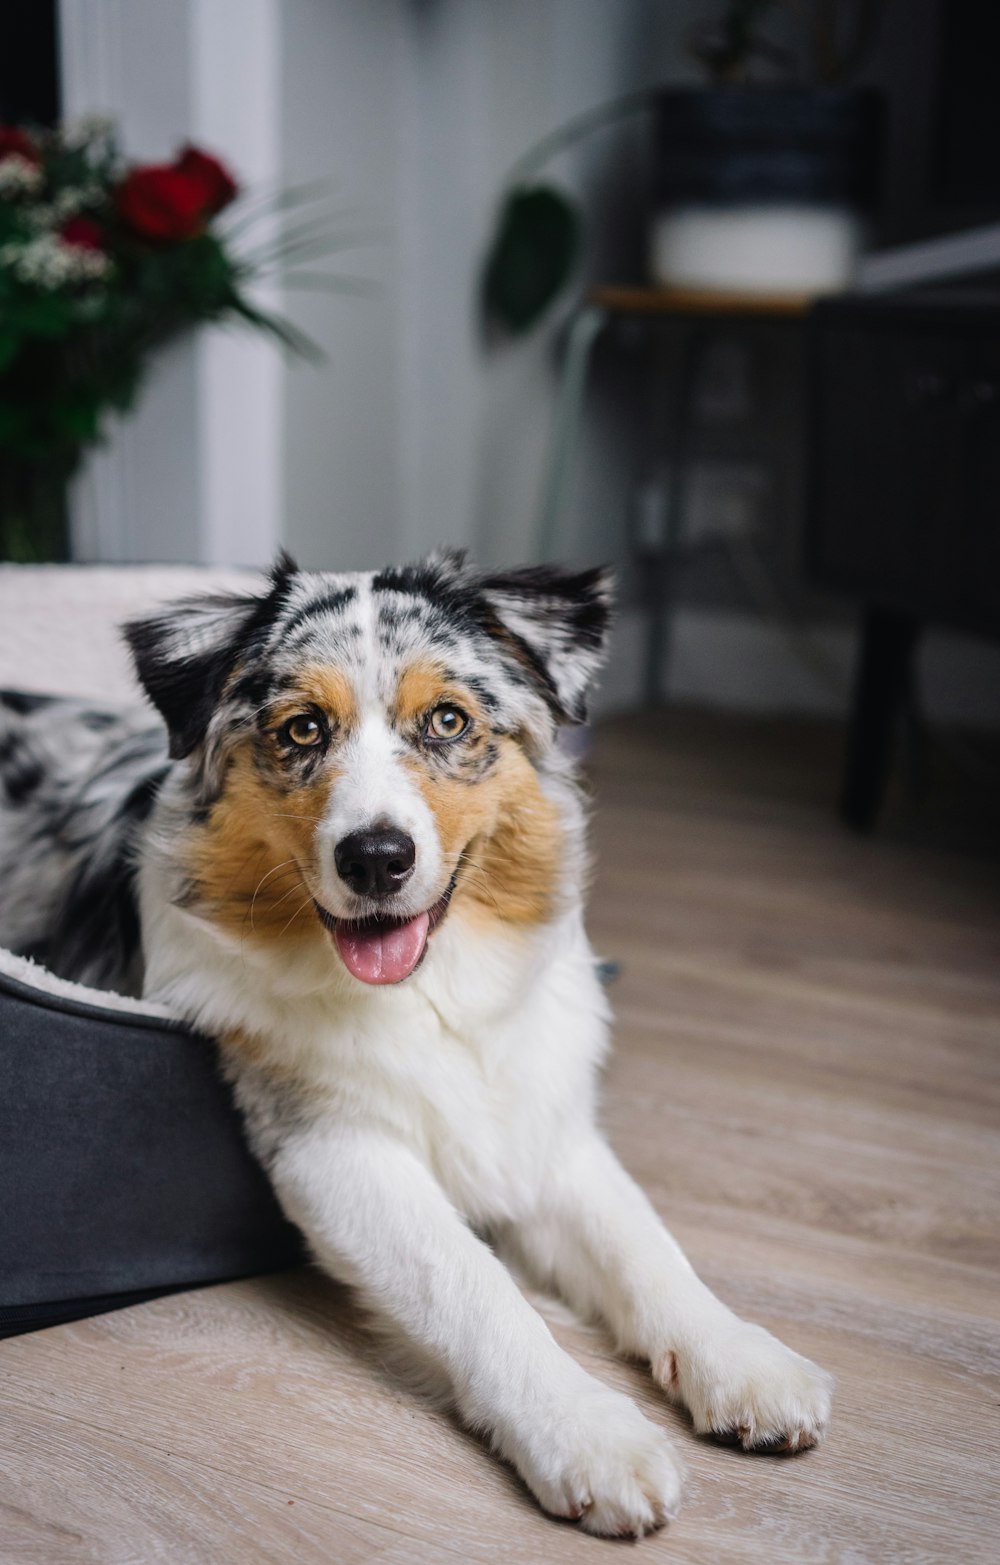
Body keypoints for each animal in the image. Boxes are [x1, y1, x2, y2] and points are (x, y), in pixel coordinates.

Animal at [0, 554, 826, 1539]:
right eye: (302, 728)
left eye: (448, 720)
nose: (376, 857)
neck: (428, 995)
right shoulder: (332, 1145)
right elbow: (473, 1283)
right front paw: (587, 1431)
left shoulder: (541, 1129)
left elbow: (646, 1244)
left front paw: (741, 1358)